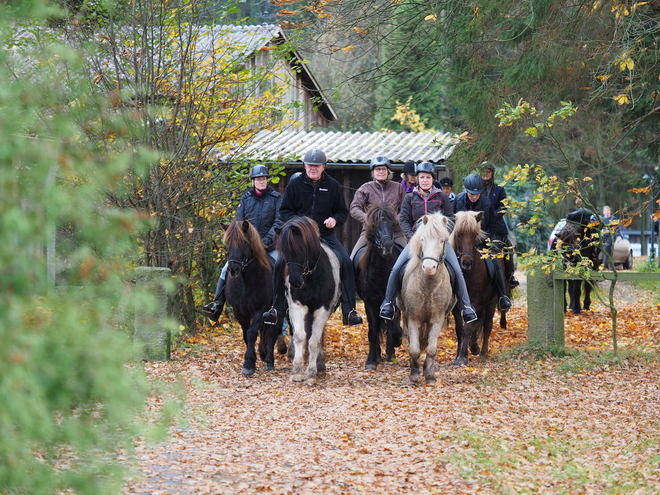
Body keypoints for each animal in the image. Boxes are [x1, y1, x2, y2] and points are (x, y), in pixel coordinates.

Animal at [224, 220, 284, 376]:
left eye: (244, 243)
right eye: (227, 243)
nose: (233, 269)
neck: (246, 282)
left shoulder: (260, 309)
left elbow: (252, 333)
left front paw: (249, 364)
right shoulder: (238, 311)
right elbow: (246, 334)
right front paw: (251, 360)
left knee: (273, 331)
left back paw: (269, 361)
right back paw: (263, 354)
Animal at [278, 218, 340, 388]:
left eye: (301, 249)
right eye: (284, 251)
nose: (295, 282)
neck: (312, 276)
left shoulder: (323, 309)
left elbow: (314, 341)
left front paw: (312, 374)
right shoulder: (296, 306)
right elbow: (300, 336)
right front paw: (298, 372)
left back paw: (320, 367)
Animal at [356, 203, 402, 370]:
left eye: (393, 224)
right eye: (374, 226)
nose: (387, 246)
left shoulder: (394, 302)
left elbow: (393, 328)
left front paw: (395, 345)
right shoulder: (370, 302)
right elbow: (373, 330)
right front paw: (371, 361)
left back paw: (390, 353)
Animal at [398, 213, 454, 388]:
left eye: (442, 240)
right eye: (422, 239)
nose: (429, 268)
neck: (428, 286)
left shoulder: (437, 319)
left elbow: (431, 349)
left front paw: (429, 375)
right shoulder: (413, 318)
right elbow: (414, 348)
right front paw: (414, 374)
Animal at [448, 211, 506, 366]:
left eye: (474, 235)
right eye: (459, 234)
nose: (467, 262)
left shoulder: (474, 302)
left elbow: (468, 328)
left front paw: (462, 357)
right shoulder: (457, 306)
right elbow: (460, 329)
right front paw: (458, 355)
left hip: (491, 302)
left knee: (487, 325)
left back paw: (483, 352)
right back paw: (474, 347)